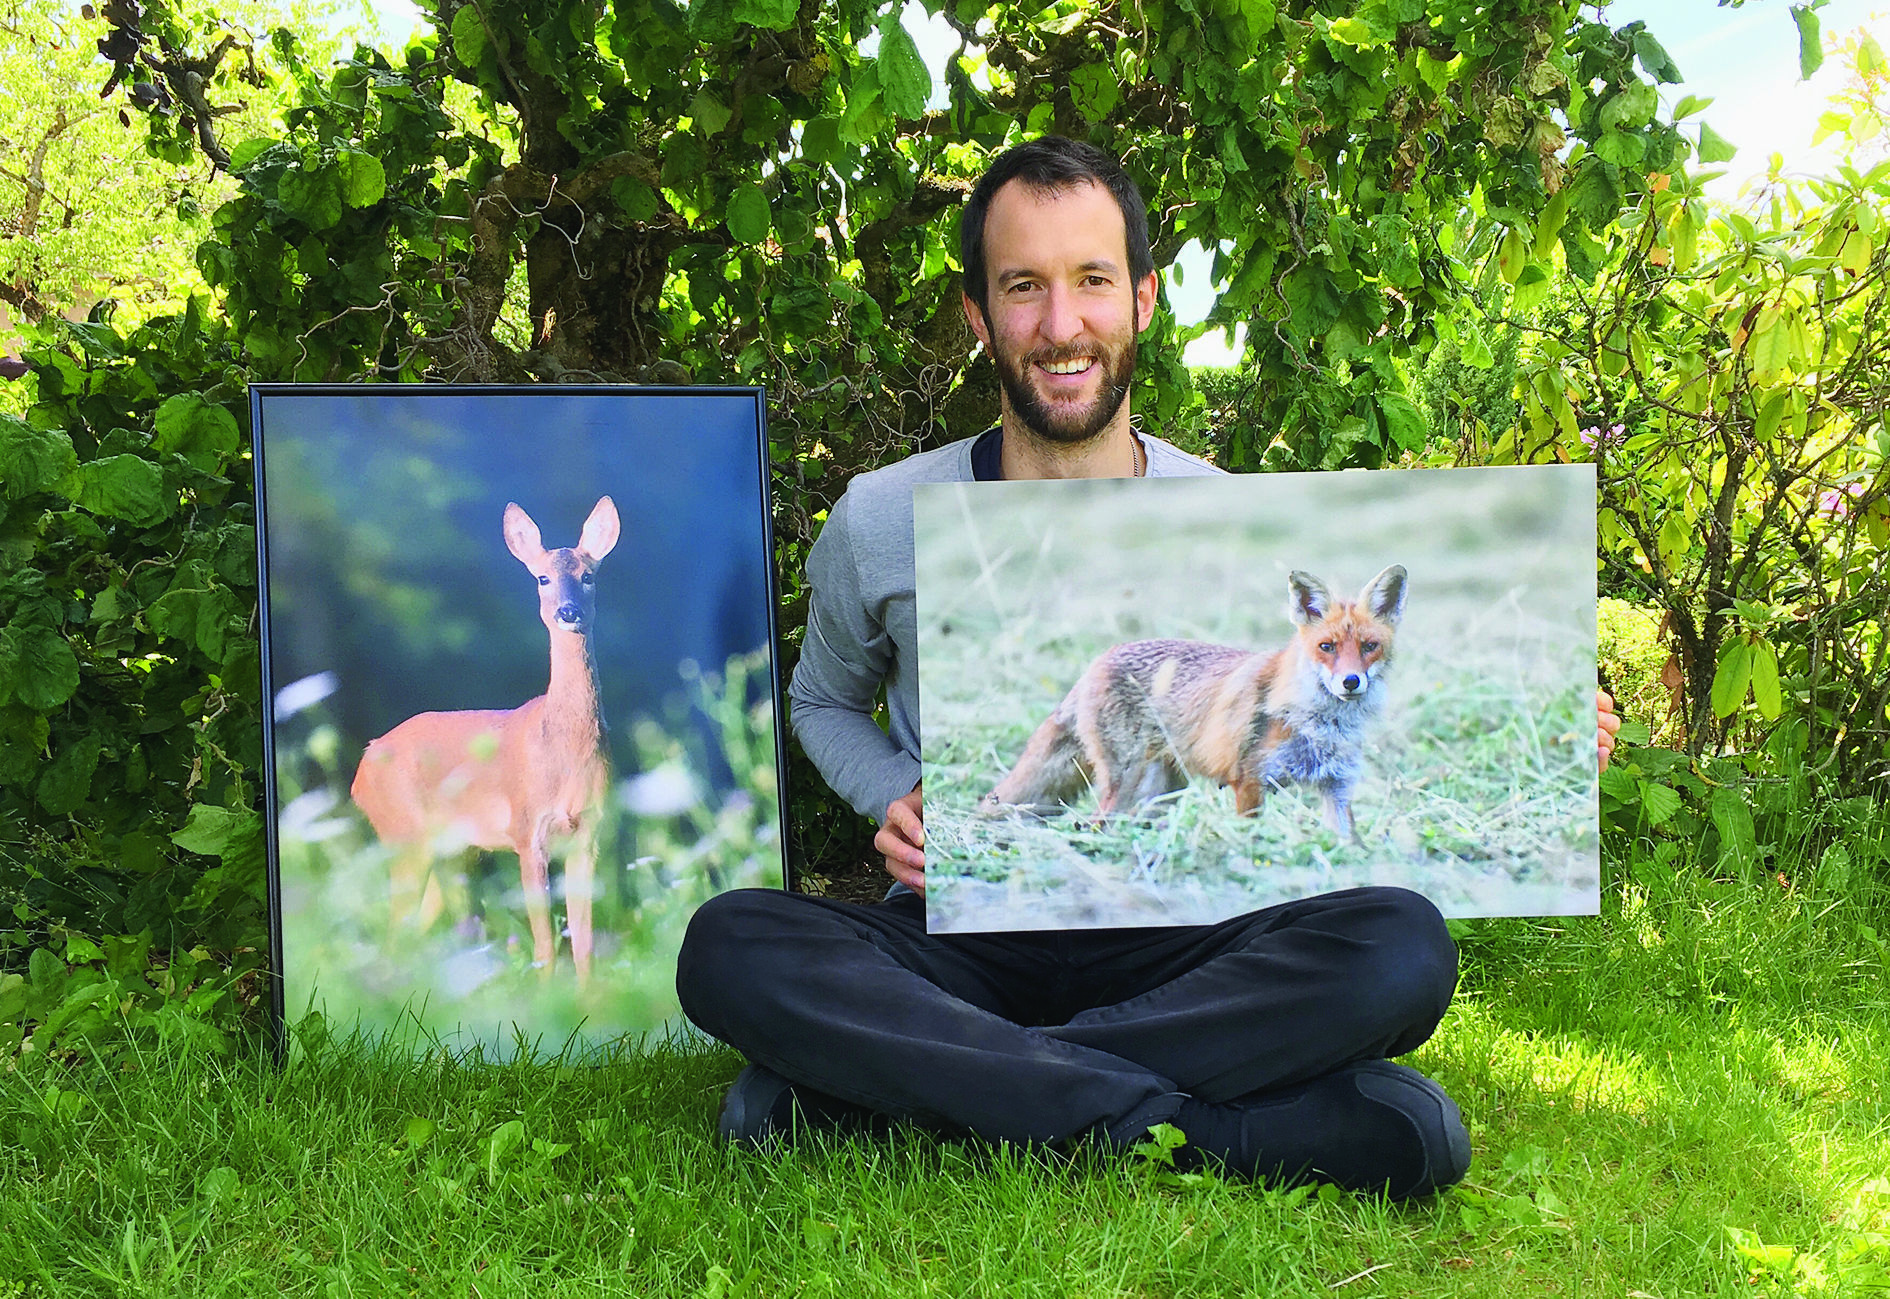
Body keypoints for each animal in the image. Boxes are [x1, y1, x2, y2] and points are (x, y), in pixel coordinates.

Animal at [351, 499, 623, 983]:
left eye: (589, 575)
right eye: (542, 578)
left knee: (421, 930)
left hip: (454, 852)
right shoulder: (526, 830)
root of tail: (362, 767)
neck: (563, 749)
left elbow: (585, 944)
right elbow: (545, 943)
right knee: (394, 936)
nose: (568, 612)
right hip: (402, 831)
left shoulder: (588, 833)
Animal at [982, 567, 1413, 831]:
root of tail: (1097, 661)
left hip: (1160, 791)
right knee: (1093, 824)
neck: (1321, 723)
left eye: (1369, 647)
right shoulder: (1249, 781)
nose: (1350, 682)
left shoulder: (1337, 788)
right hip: (1125, 783)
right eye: (1327, 647)